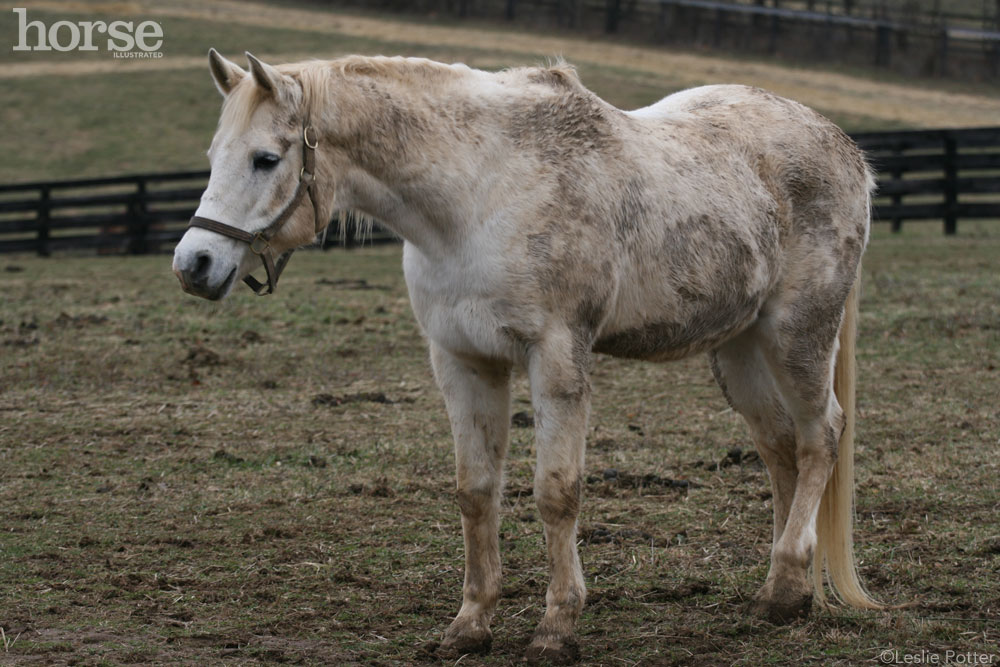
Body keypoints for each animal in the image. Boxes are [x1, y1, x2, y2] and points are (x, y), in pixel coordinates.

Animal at [172, 51, 884, 664]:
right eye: (212, 156)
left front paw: (556, 628)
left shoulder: (557, 358)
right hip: (738, 350)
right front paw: (470, 625)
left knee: (821, 436)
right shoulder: (461, 362)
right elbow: (475, 492)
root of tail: (844, 148)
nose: (194, 264)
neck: (480, 195)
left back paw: (787, 580)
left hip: (796, 337)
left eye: (266, 158)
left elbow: (555, 494)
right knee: (781, 450)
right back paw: (785, 593)